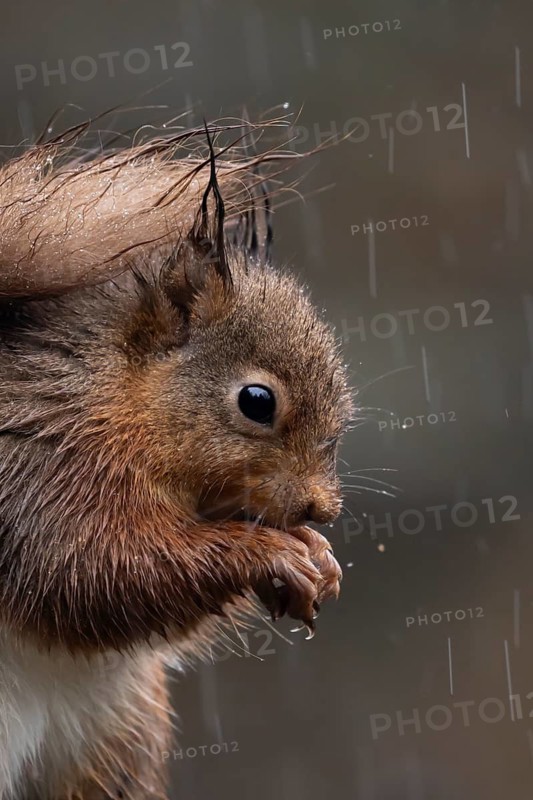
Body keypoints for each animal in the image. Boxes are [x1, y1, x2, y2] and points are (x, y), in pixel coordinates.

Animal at [0, 117, 353, 799]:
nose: (321, 510)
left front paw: (317, 557)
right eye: (256, 401)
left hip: (116, 744)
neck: (109, 396)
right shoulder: (35, 473)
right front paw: (271, 552)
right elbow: (96, 571)